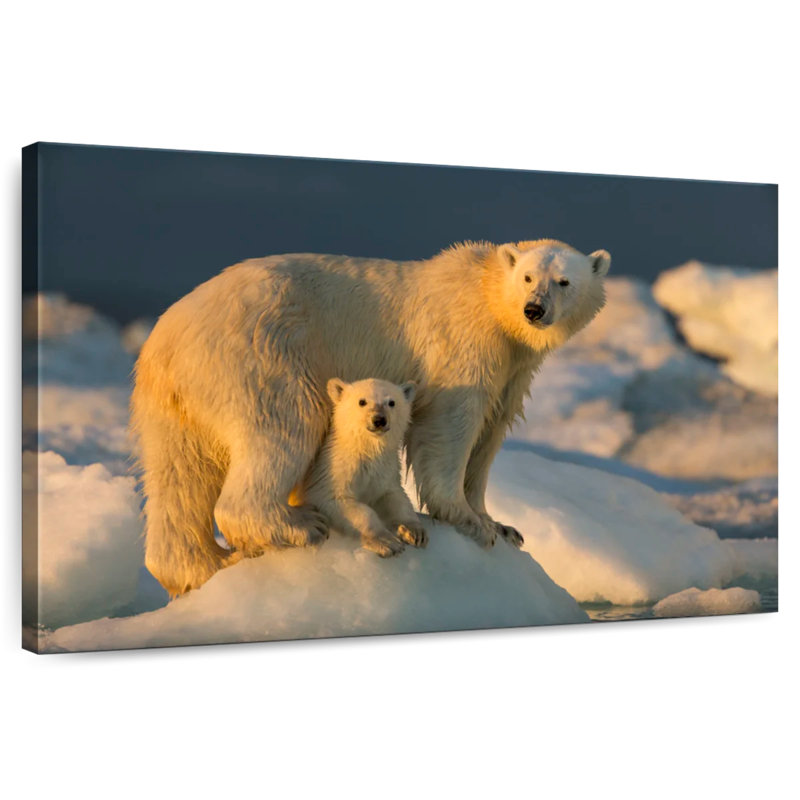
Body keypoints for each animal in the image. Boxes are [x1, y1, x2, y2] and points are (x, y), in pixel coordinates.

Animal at [292, 377, 427, 558]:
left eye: (391, 402)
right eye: (362, 401)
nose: (379, 420)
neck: (366, 449)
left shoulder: (385, 470)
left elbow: (394, 496)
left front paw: (414, 532)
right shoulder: (332, 470)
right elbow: (340, 501)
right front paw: (387, 542)